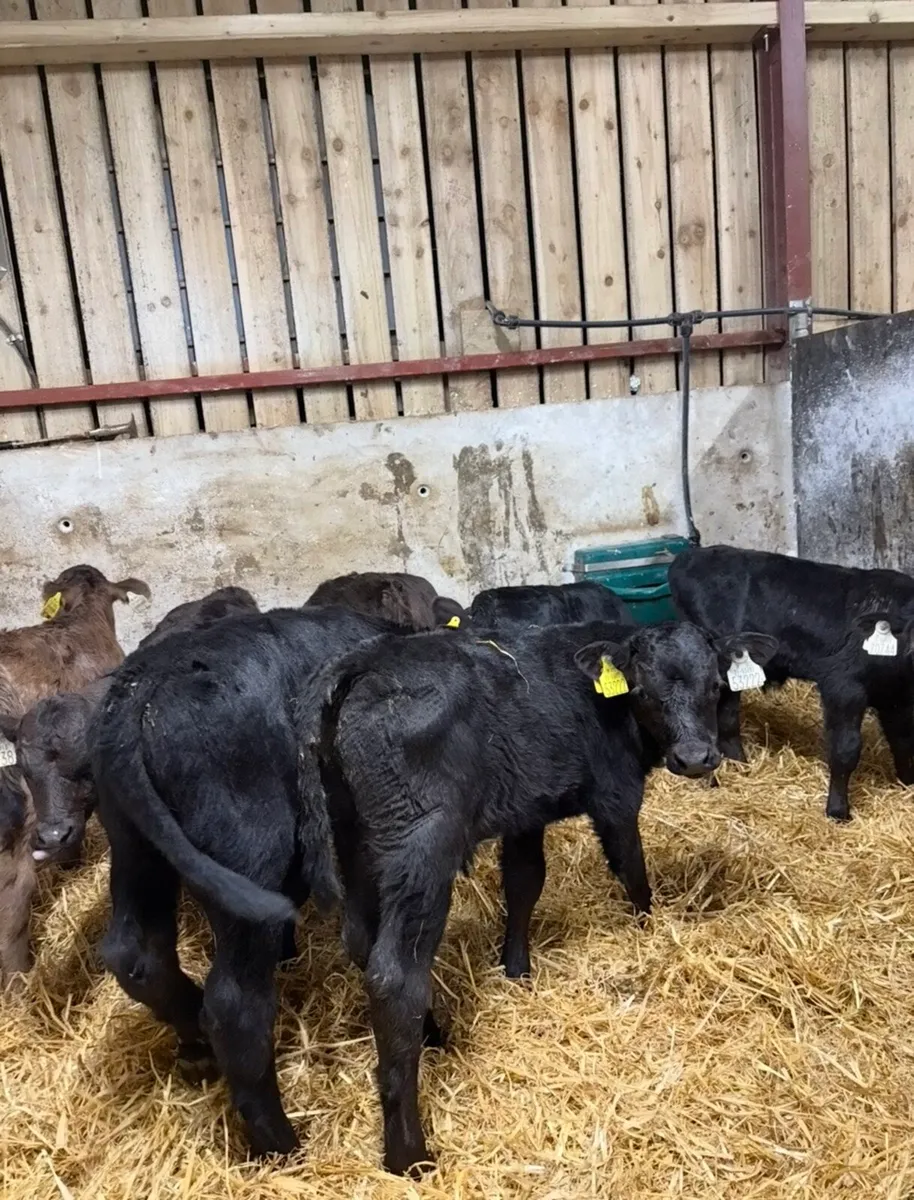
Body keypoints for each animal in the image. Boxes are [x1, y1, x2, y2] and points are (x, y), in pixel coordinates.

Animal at [89, 598, 464, 1157]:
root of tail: (143, 687)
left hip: (135, 845)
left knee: (137, 951)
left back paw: (195, 1046)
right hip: (247, 854)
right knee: (235, 1005)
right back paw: (283, 1145)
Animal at [300, 617, 777, 1174]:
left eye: (715, 686)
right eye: (642, 691)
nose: (697, 758)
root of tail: (365, 660)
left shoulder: (524, 813)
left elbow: (525, 882)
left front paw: (517, 969)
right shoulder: (615, 794)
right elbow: (631, 869)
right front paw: (649, 928)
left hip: (352, 835)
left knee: (360, 938)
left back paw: (433, 1034)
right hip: (420, 842)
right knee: (395, 974)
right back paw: (410, 1155)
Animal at [670, 543, 914, 821]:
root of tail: (691, 554)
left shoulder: (898, 697)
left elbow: (902, 741)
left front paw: (907, 785)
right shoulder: (843, 687)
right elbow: (846, 749)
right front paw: (838, 812)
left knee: (728, 717)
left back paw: (740, 767)